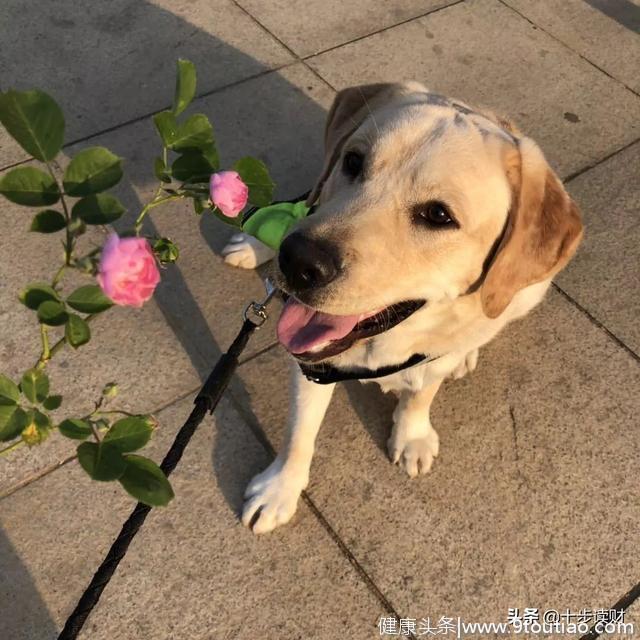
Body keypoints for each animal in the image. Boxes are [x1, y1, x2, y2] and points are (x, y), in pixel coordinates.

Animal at [221, 82, 584, 532]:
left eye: (438, 215)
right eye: (354, 161)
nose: (299, 261)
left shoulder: (432, 354)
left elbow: (422, 393)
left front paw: (411, 435)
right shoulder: (312, 365)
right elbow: (299, 432)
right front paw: (279, 489)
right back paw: (254, 243)